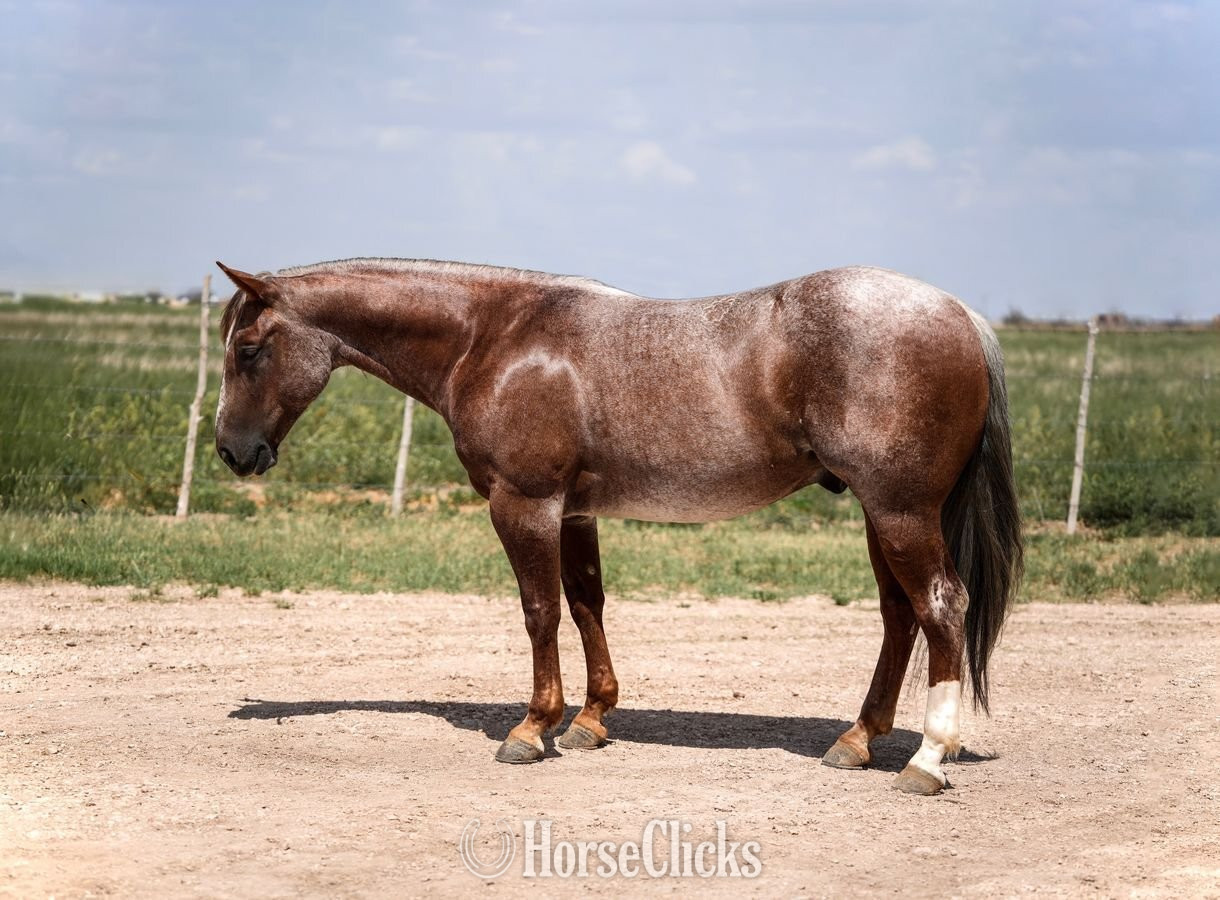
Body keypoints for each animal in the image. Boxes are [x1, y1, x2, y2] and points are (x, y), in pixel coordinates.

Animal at [213, 257, 1022, 795]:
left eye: (248, 350)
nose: (231, 450)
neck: (494, 337)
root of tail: (960, 315)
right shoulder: (573, 511)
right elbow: (585, 603)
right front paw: (591, 719)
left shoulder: (523, 503)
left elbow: (539, 611)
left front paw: (532, 729)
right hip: (880, 513)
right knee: (899, 615)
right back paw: (856, 741)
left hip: (899, 510)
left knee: (941, 605)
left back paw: (926, 760)